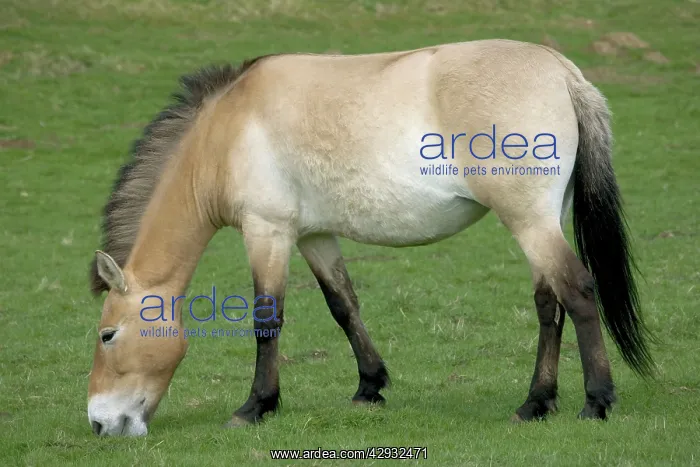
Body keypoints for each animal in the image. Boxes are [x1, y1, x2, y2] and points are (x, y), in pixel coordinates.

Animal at [86, 39, 653, 436]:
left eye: (107, 335)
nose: (99, 422)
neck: (227, 130)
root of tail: (561, 71)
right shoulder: (314, 236)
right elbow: (344, 305)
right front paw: (369, 387)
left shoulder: (267, 231)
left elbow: (267, 319)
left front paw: (255, 406)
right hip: (542, 220)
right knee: (548, 303)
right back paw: (536, 403)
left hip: (529, 221)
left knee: (577, 291)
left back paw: (596, 401)